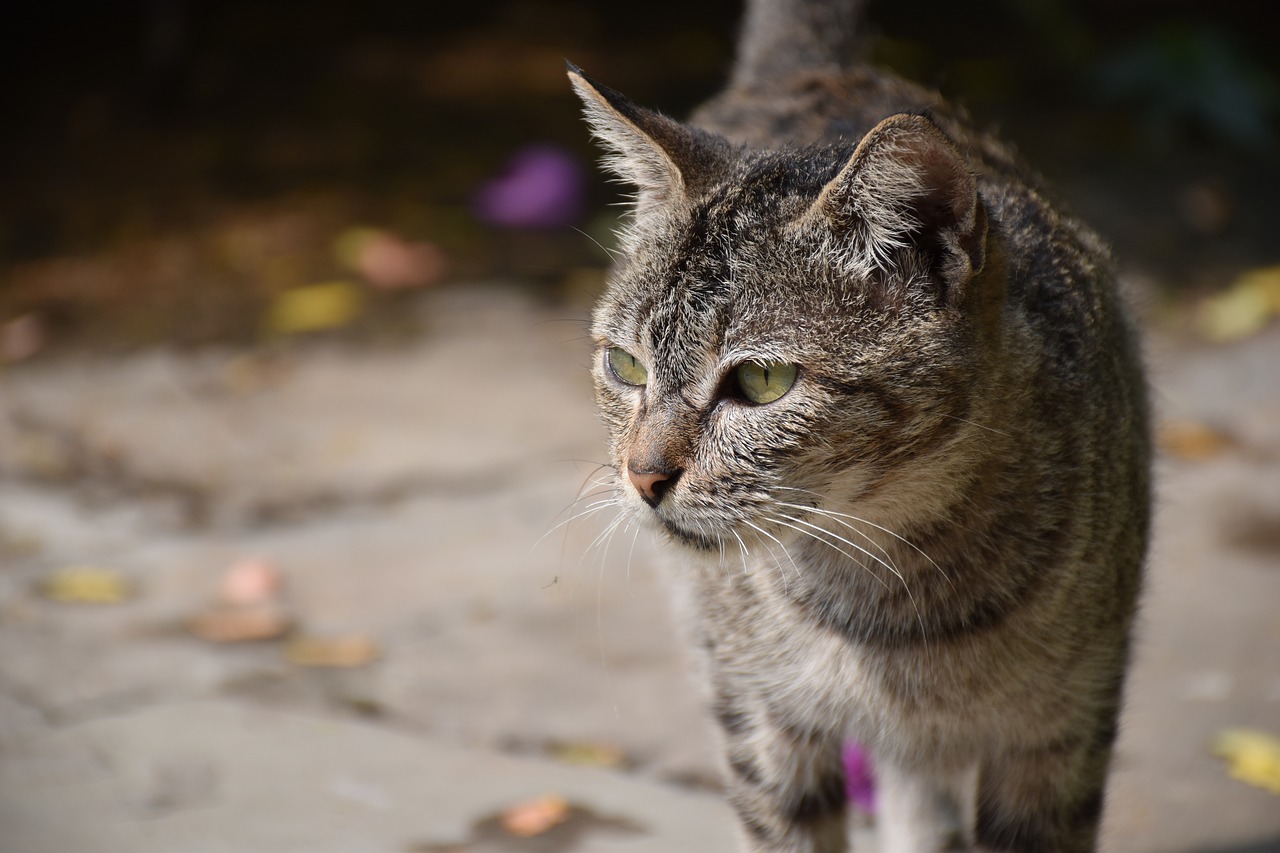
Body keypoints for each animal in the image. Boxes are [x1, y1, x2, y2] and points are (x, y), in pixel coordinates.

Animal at [570, 0, 1152, 845]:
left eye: (761, 381)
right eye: (627, 366)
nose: (643, 476)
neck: (894, 597)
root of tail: (820, 65)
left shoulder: (1062, 731)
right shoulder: (763, 719)